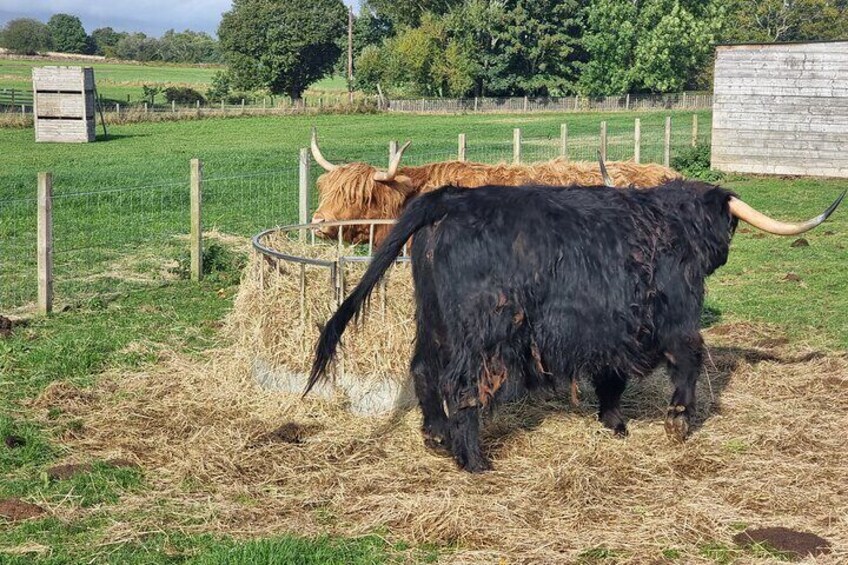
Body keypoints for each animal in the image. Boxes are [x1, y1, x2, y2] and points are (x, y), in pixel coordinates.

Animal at [308, 182, 844, 472]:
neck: (673, 226)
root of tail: (448, 200)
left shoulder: (609, 328)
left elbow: (611, 378)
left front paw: (613, 422)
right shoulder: (673, 316)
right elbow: (688, 358)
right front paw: (677, 421)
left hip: (432, 318)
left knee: (423, 369)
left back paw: (436, 438)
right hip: (482, 331)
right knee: (461, 385)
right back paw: (474, 460)